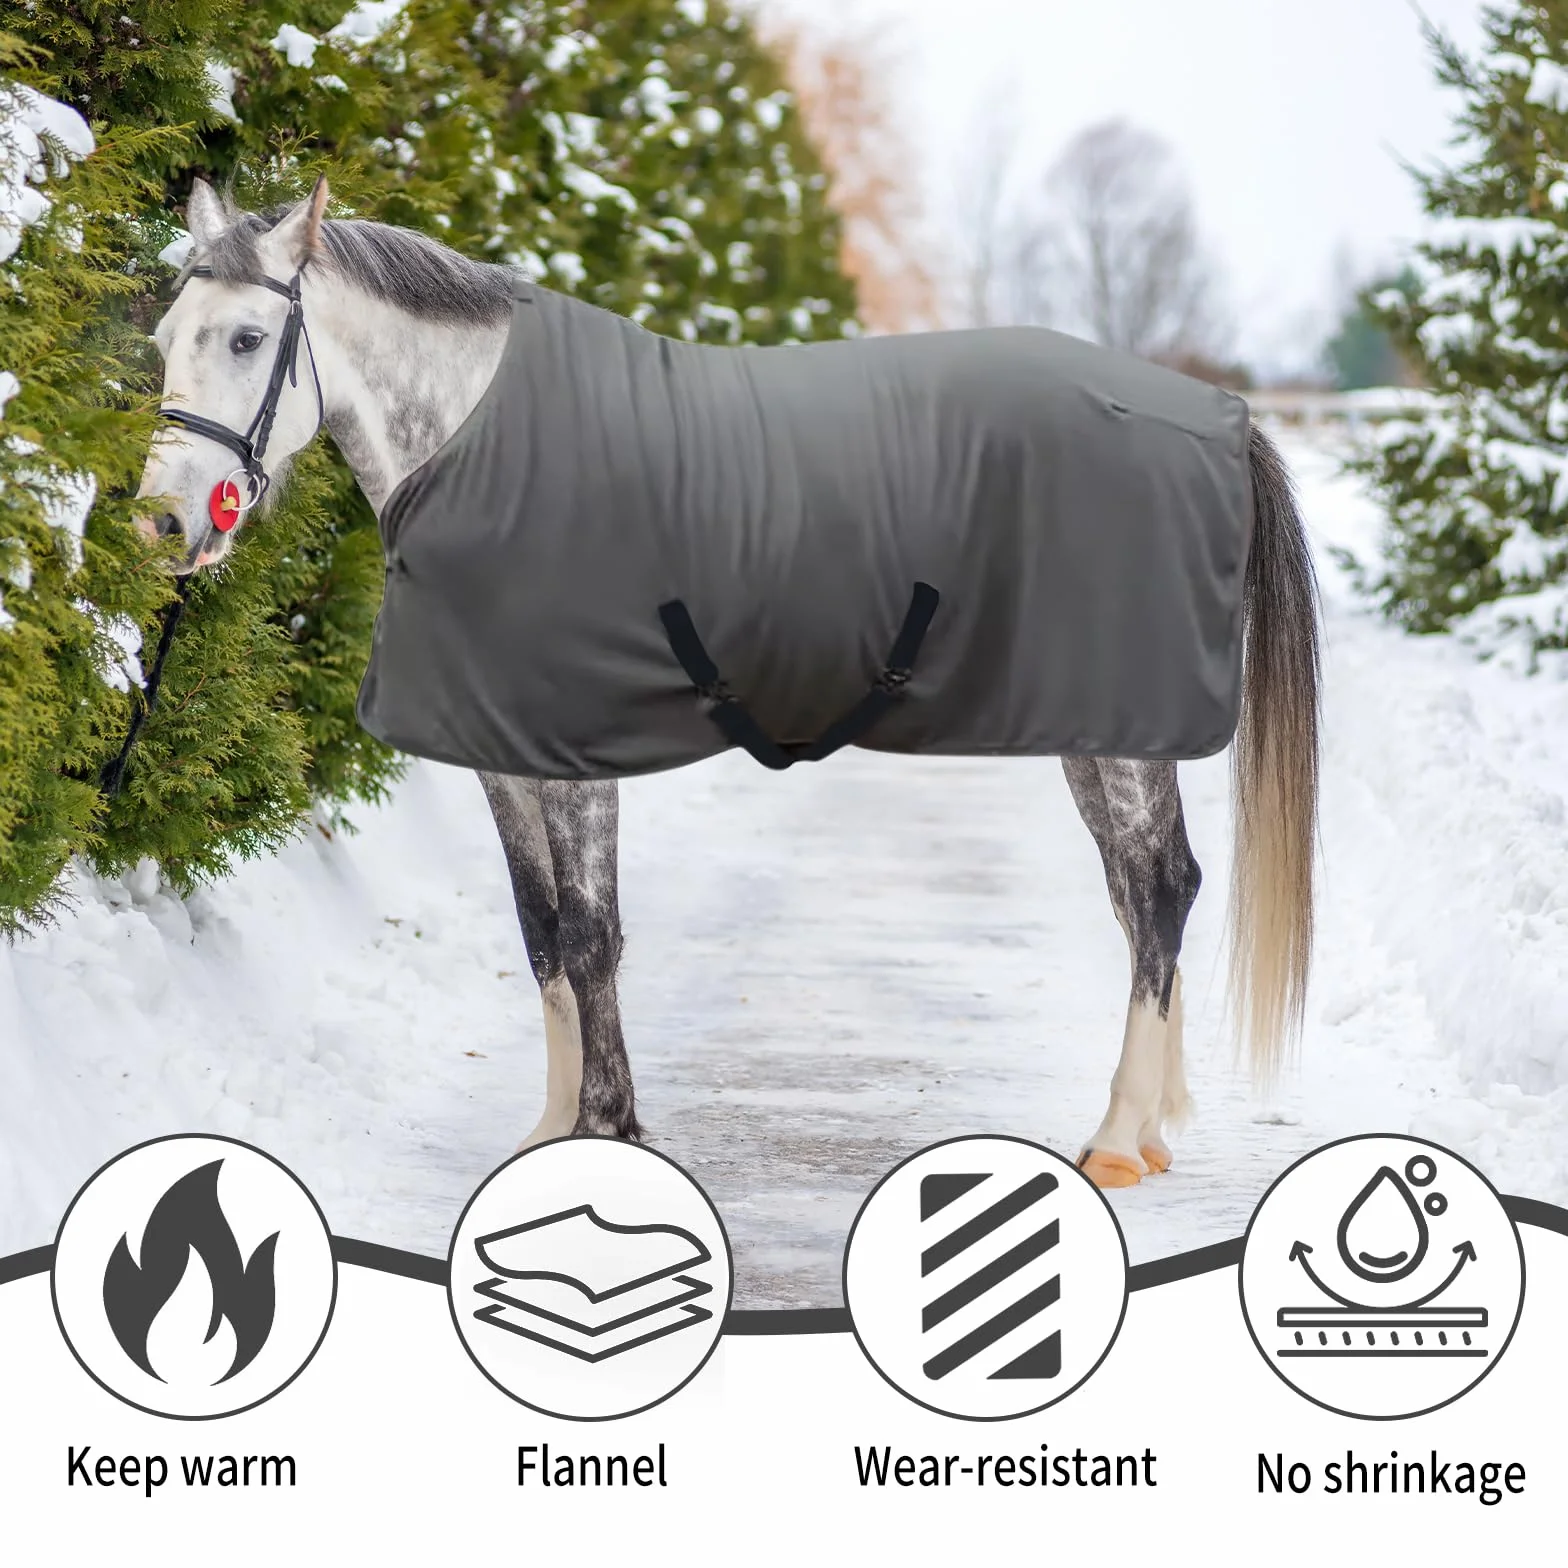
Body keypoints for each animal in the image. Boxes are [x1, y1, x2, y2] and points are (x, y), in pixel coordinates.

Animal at [136, 177, 1321, 1190]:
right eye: (161, 340)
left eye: (246, 338)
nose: (163, 521)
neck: (482, 442)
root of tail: (1218, 415)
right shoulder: (503, 757)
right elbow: (540, 933)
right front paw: (552, 1128)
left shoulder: (574, 758)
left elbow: (591, 936)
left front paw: (604, 1125)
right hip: (1096, 722)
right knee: (1142, 890)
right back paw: (1154, 1127)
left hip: (1118, 729)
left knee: (1159, 893)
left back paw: (1117, 1139)